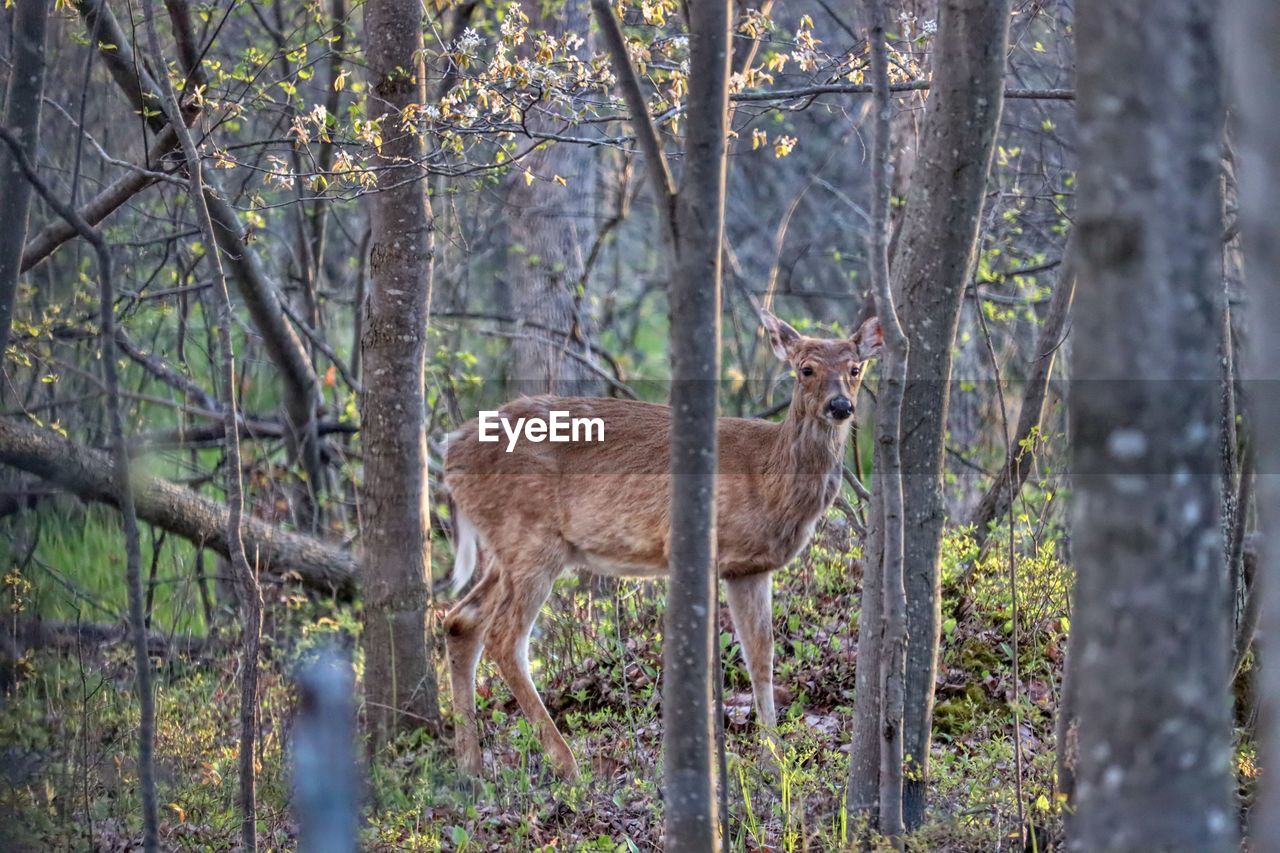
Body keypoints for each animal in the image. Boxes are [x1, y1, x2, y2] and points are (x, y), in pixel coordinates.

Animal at [440, 307, 880, 778]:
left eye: (855, 368)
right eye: (806, 369)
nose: (841, 406)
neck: (767, 475)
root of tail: (449, 450)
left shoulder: (750, 567)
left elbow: (761, 657)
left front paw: (774, 762)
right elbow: (708, 660)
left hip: (501, 548)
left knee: (461, 620)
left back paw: (470, 766)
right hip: (530, 538)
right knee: (504, 636)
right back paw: (567, 765)